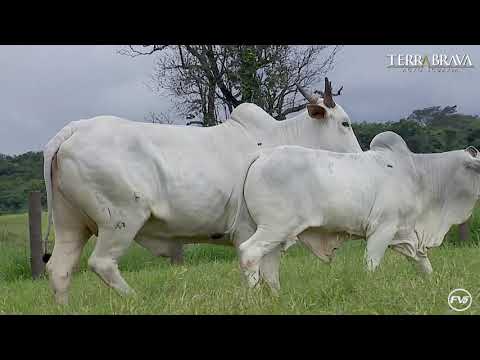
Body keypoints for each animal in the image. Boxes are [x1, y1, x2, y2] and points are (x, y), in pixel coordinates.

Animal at [43, 79, 362, 304]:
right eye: (345, 123)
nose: (359, 156)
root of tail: (74, 129)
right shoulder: (253, 228)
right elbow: (260, 269)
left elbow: (272, 277)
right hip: (121, 220)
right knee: (102, 264)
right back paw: (137, 299)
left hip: (70, 224)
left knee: (59, 269)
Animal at [240, 131, 480, 288]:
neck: (419, 175)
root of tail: (261, 156)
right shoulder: (383, 228)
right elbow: (371, 265)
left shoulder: (407, 234)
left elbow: (423, 264)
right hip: (275, 227)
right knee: (249, 252)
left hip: (276, 234)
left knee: (269, 266)